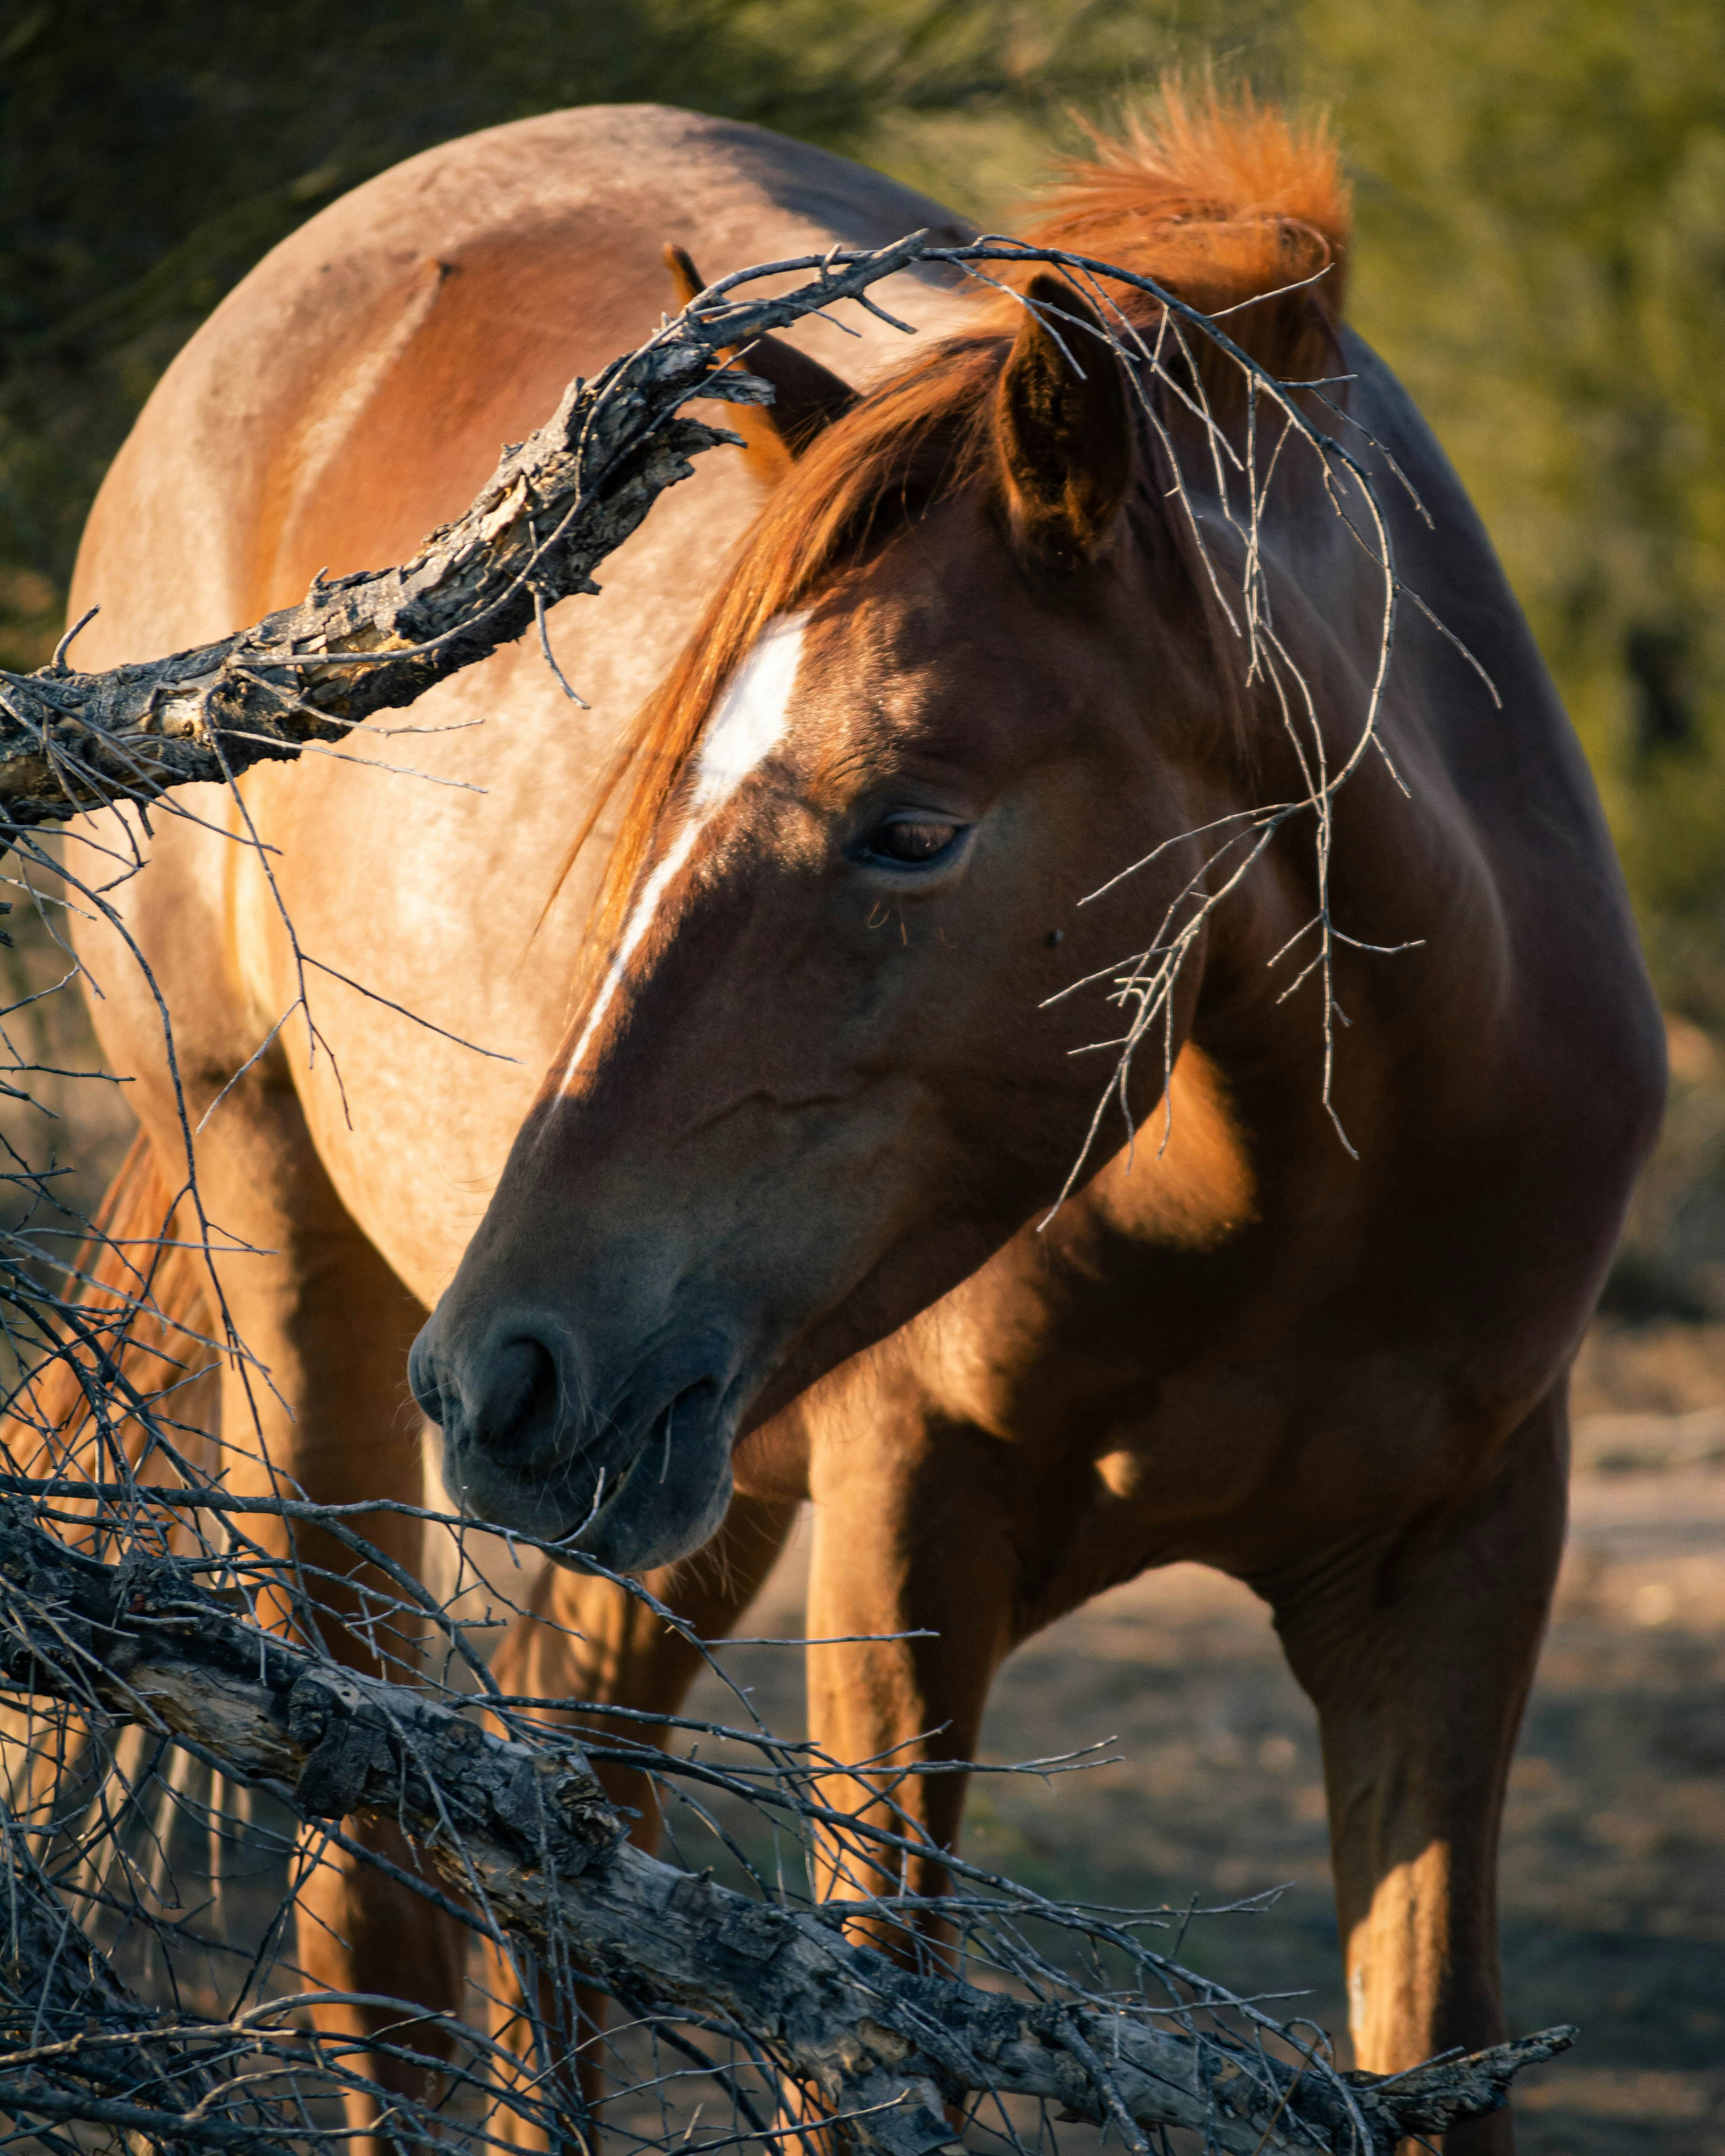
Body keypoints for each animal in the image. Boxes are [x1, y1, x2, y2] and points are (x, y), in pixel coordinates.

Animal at [46, 90, 1662, 2155]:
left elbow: (1429, 2055)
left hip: (687, 1466)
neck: (1303, 1206)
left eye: (910, 825)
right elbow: (874, 2027)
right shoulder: (906, 1545)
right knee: (385, 1910)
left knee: (562, 1822)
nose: (501, 1368)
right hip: (294, 1254)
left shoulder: (1456, 1569)